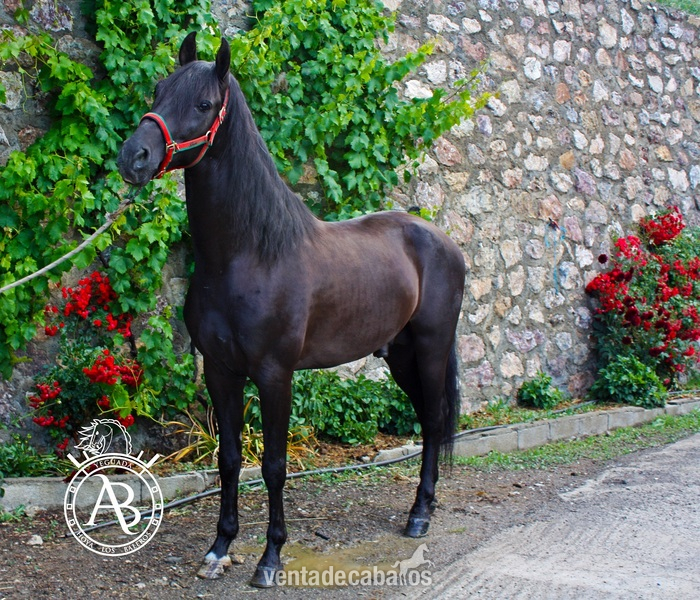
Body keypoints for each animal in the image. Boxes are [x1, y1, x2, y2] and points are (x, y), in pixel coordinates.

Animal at [117, 32, 465, 587]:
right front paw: (219, 548)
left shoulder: (275, 374)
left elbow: (274, 466)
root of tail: (442, 241)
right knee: (426, 420)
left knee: (433, 422)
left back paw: (419, 516)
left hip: (431, 349)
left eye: (204, 104)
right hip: (399, 355)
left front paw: (270, 558)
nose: (135, 156)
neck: (248, 256)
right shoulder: (220, 371)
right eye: (158, 90)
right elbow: (230, 459)